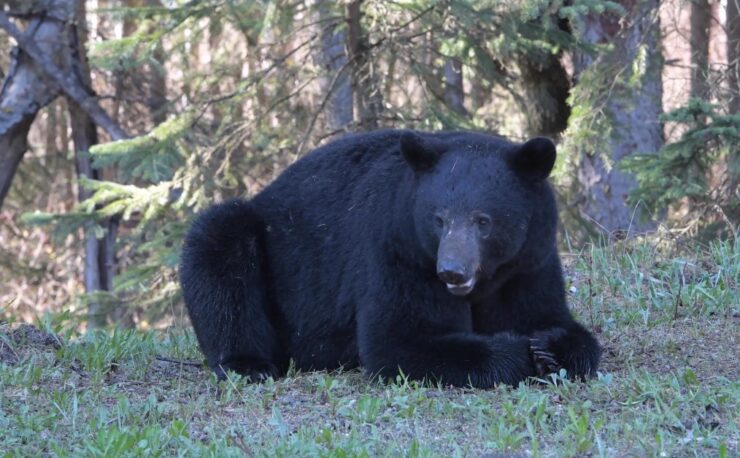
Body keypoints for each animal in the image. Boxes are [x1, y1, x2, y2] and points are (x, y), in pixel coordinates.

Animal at [179, 130, 600, 386]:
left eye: (483, 221)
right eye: (439, 219)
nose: (452, 271)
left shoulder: (528, 262)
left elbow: (548, 316)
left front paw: (549, 346)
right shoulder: (400, 253)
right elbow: (399, 339)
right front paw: (519, 353)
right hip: (256, 242)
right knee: (220, 250)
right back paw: (248, 363)